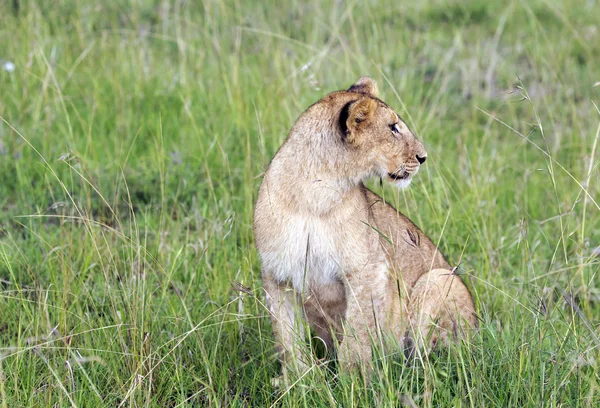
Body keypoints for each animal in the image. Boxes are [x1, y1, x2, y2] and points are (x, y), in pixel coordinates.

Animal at [254, 77, 478, 380]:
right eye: (393, 127)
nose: (423, 157)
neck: (312, 196)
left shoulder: (368, 269)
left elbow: (357, 333)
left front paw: (355, 380)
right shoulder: (277, 275)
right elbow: (287, 337)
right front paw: (298, 380)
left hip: (439, 279)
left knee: (430, 357)